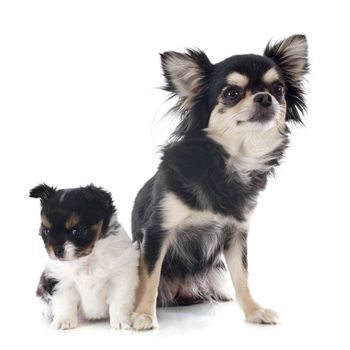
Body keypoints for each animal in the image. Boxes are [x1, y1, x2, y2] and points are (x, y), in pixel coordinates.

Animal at [30, 185, 139, 330]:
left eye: (77, 231)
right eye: (47, 231)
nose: (57, 251)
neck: (86, 259)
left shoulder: (120, 277)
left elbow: (119, 302)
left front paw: (120, 321)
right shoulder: (60, 280)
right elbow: (64, 303)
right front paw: (64, 320)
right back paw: (46, 311)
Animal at [131, 34, 308, 330]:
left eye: (279, 89)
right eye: (232, 93)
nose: (265, 97)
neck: (228, 163)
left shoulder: (235, 234)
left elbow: (242, 277)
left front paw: (254, 311)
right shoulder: (157, 231)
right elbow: (150, 277)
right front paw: (143, 314)